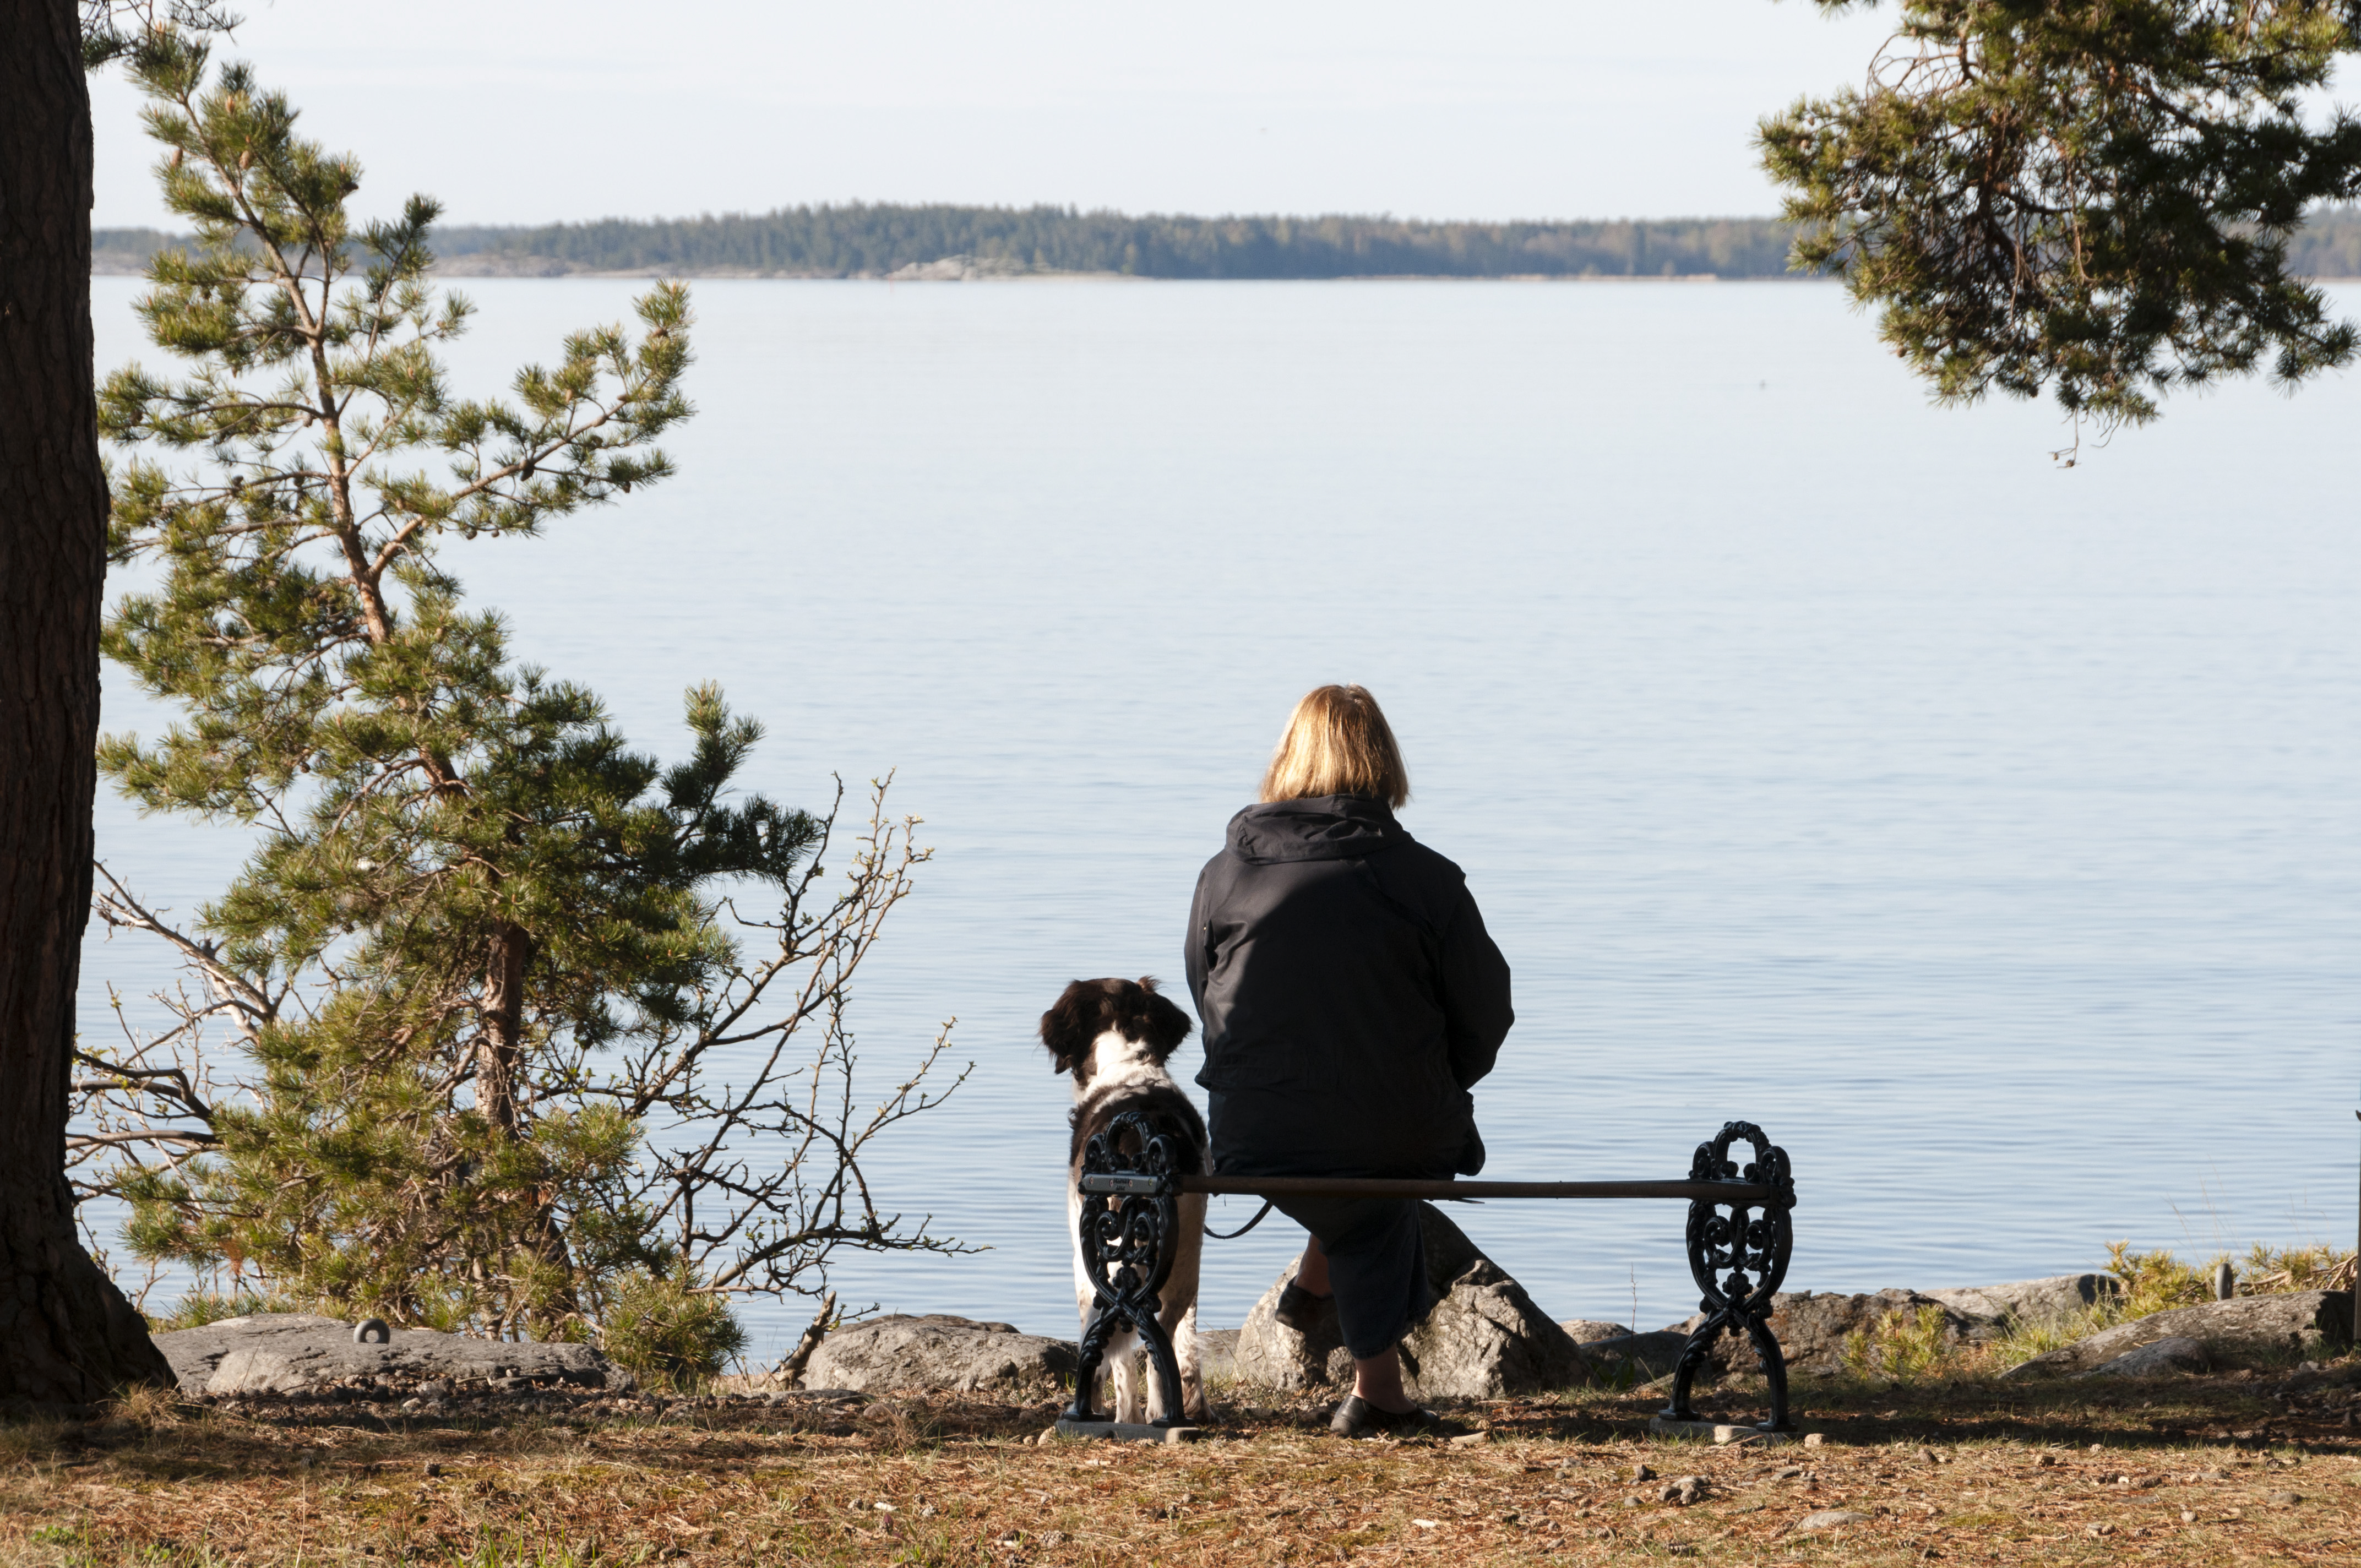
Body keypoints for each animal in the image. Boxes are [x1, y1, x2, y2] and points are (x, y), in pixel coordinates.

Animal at [1038, 973, 1209, 1426]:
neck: (1128, 1067)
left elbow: (1110, 1359)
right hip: (1184, 1256)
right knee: (1163, 1334)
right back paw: (1165, 1411)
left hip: (1099, 1264)